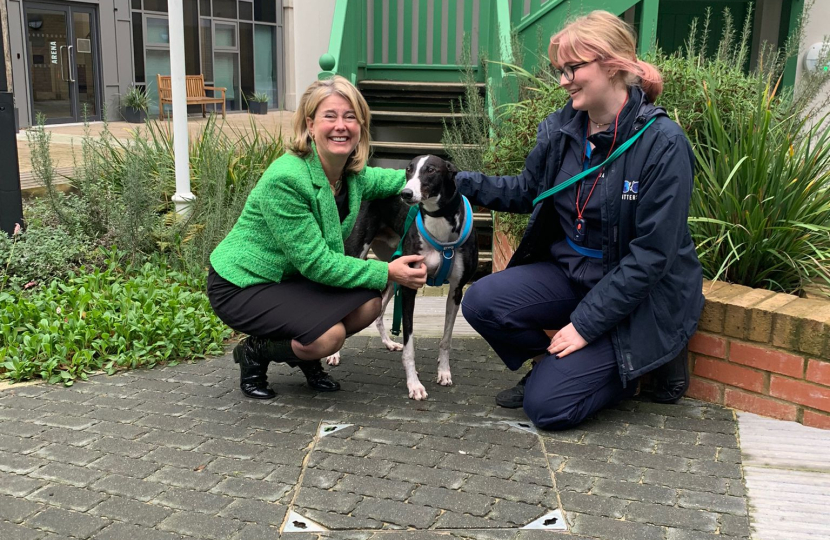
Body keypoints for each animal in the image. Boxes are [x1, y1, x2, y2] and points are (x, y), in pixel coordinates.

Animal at [326, 154, 478, 398]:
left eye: (431, 170)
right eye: (408, 170)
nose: (405, 194)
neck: (440, 228)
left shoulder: (456, 291)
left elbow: (446, 339)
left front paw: (444, 372)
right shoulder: (409, 288)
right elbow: (410, 345)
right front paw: (414, 385)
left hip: (391, 270)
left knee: (379, 312)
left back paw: (388, 342)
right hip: (357, 254)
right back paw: (334, 354)